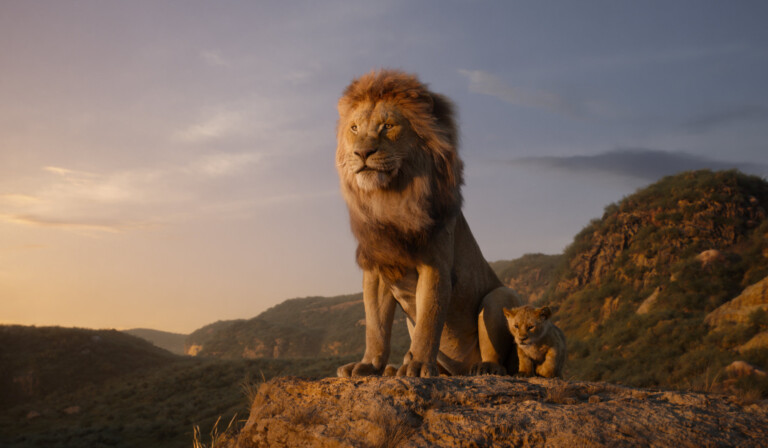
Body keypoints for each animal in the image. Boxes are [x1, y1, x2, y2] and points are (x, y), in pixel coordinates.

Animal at [335, 69, 524, 378]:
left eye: (387, 126)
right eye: (354, 128)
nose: (362, 153)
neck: (390, 199)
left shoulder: (435, 265)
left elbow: (429, 320)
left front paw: (419, 365)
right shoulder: (377, 269)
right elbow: (375, 326)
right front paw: (369, 365)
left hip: (500, 296)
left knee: (499, 357)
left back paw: (484, 368)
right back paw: (395, 369)